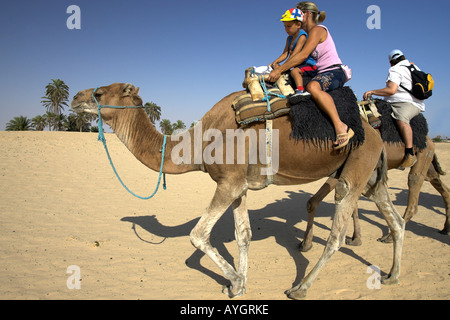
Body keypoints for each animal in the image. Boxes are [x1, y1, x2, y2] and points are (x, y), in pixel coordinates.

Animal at [71, 82, 404, 300]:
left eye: (99, 93)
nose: (75, 98)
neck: (200, 142)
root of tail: (374, 131)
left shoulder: (227, 183)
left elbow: (197, 235)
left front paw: (233, 282)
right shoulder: (238, 185)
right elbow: (243, 235)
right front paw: (240, 284)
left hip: (355, 169)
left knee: (337, 234)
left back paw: (300, 288)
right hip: (369, 175)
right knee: (395, 220)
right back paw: (392, 275)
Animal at [300, 136, 448, 251]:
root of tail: (431, 141)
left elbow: (314, 202)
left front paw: (306, 243)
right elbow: (351, 205)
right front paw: (356, 238)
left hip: (423, 157)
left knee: (414, 189)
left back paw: (389, 237)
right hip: (429, 167)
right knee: (443, 189)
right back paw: (445, 229)